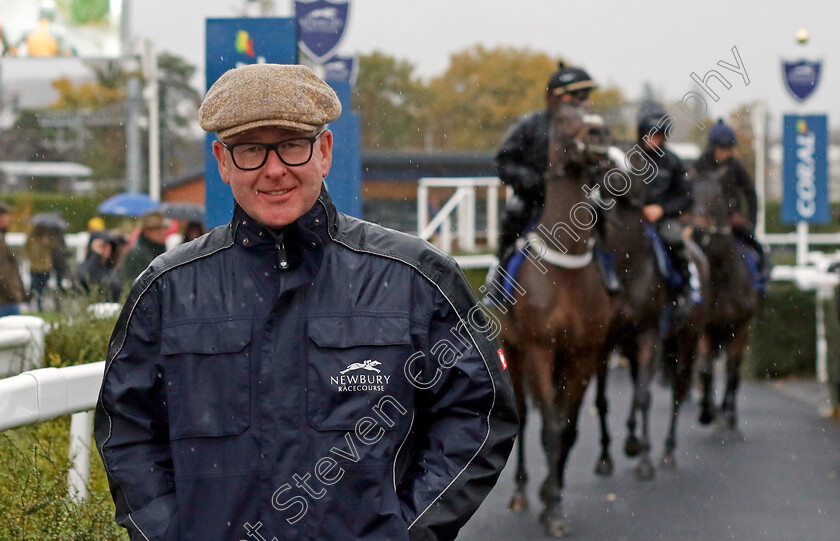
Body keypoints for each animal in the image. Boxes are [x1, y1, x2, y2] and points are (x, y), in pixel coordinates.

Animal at [492, 105, 612, 536]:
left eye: (594, 111)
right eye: (563, 118)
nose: (598, 134)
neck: (567, 269)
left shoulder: (584, 353)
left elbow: (568, 427)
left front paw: (553, 496)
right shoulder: (539, 350)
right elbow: (548, 429)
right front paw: (551, 505)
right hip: (513, 353)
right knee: (525, 417)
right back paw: (521, 491)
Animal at [688, 171, 760, 436]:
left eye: (717, 197)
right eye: (689, 195)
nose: (698, 230)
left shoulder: (741, 327)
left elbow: (731, 370)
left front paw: (728, 416)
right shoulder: (704, 328)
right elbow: (705, 369)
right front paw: (706, 412)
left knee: (734, 370)